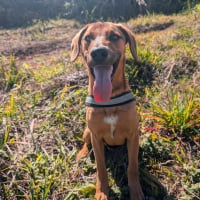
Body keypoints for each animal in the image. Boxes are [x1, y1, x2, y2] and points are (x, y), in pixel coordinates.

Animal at [71, 22, 143, 200]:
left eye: (114, 36)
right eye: (87, 38)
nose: (98, 52)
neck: (109, 100)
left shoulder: (133, 135)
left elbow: (132, 167)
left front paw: (135, 191)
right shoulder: (96, 138)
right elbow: (101, 168)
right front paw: (102, 192)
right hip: (87, 132)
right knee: (86, 142)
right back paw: (82, 153)